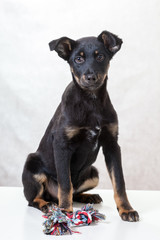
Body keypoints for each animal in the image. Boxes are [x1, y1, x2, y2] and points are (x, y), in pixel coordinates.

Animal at [22, 31, 139, 222]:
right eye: (78, 59)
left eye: (100, 57)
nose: (90, 77)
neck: (91, 101)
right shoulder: (62, 145)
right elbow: (65, 183)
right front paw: (64, 212)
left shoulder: (112, 145)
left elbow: (119, 182)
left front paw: (126, 209)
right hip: (32, 165)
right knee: (34, 199)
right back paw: (47, 205)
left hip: (94, 173)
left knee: (75, 191)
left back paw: (88, 196)